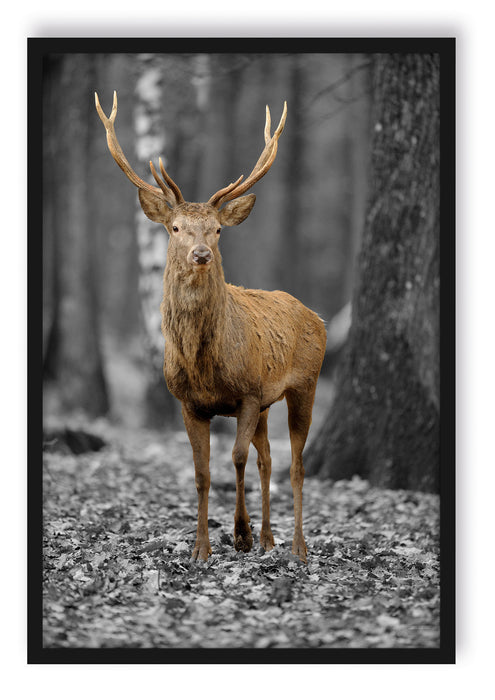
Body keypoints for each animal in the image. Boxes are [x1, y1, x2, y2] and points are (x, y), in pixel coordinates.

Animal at [96, 93, 330, 564]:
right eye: (175, 227)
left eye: (218, 229)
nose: (201, 254)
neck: (204, 363)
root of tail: (317, 317)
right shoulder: (190, 402)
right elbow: (202, 472)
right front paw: (201, 547)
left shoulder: (248, 392)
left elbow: (235, 458)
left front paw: (239, 534)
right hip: (268, 403)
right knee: (269, 459)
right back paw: (269, 538)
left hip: (305, 384)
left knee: (295, 464)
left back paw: (297, 546)